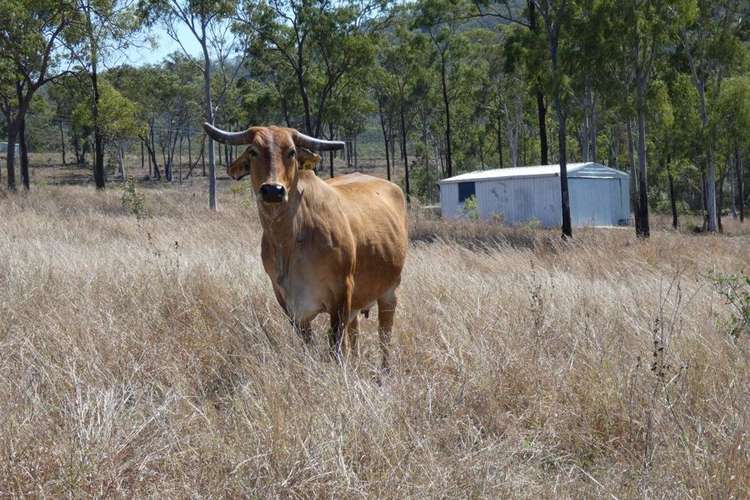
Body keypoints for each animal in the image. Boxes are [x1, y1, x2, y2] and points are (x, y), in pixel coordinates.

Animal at [203, 123, 408, 370]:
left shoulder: (341, 295)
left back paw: (385, 369)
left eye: (291, 152)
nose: (273, 190)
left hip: (389, 291)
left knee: (384, 334)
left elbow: (335, 345)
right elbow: (309, 345)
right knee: (355, 333)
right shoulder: (290, 304)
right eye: (253, 151)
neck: (289, 241)